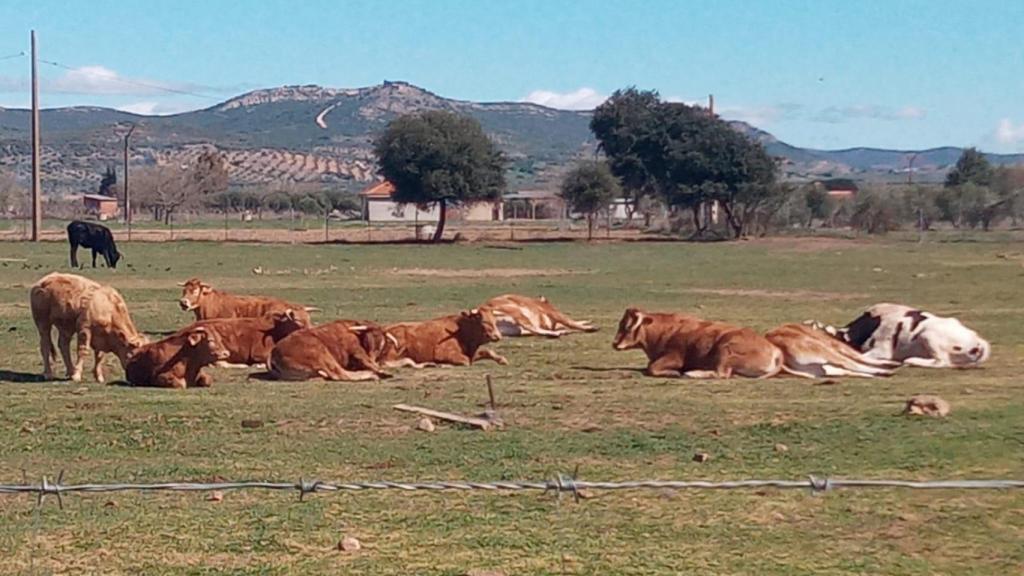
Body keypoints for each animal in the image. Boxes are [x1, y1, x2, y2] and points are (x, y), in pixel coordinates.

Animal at [606, 307, 782, 379]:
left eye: (627, 326)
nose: (615, 343)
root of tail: (775, 350)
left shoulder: (674, 357)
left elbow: (652, 368)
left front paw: (674, 373)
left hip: (725, 349)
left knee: (721, 374)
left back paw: (692, 373)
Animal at [761, 323, 897, 377]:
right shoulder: (838, 347)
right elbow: (860, 357)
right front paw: (891, 363)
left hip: (817, 367)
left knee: (844, 370)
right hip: (823, 350)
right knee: (848, 364)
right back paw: (886, 371)